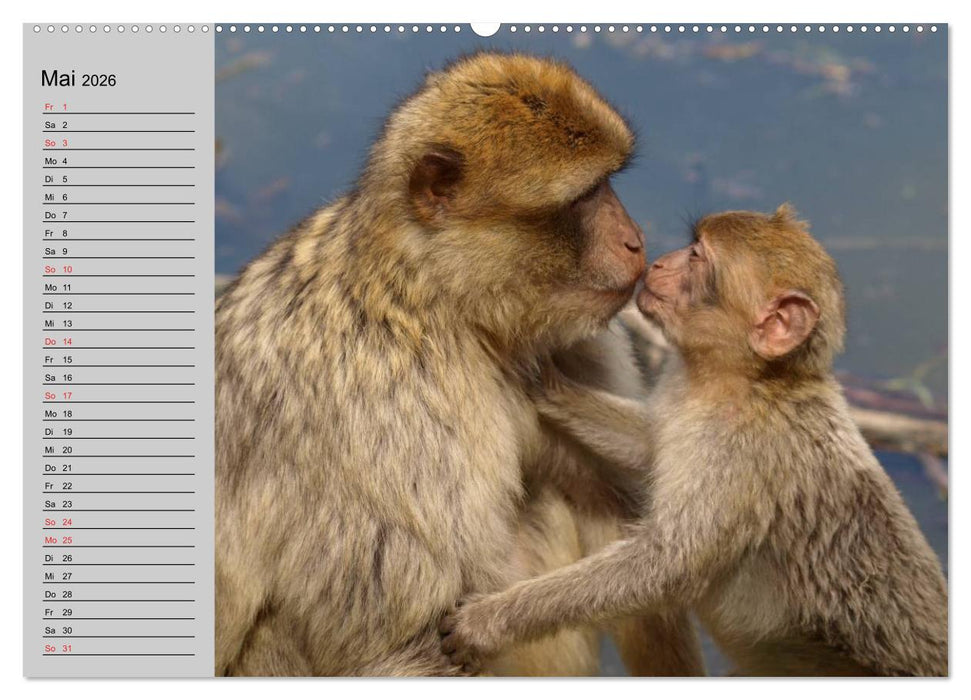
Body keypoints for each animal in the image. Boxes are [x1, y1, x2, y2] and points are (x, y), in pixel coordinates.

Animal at [215, 52, 704, 676]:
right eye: (584, 196)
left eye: (608, 184)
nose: (635, 241)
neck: (436, 301)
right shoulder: (394, 415)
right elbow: (402, 639)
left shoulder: (572, 346)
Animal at [439, 205, 949, 676]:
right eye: (692, 245)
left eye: (698, 257)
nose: (659, 261)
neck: (743, 381)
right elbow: (649, 444)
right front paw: (545, 382)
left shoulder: (738, 452)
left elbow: (665, 566)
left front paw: (489, 621)